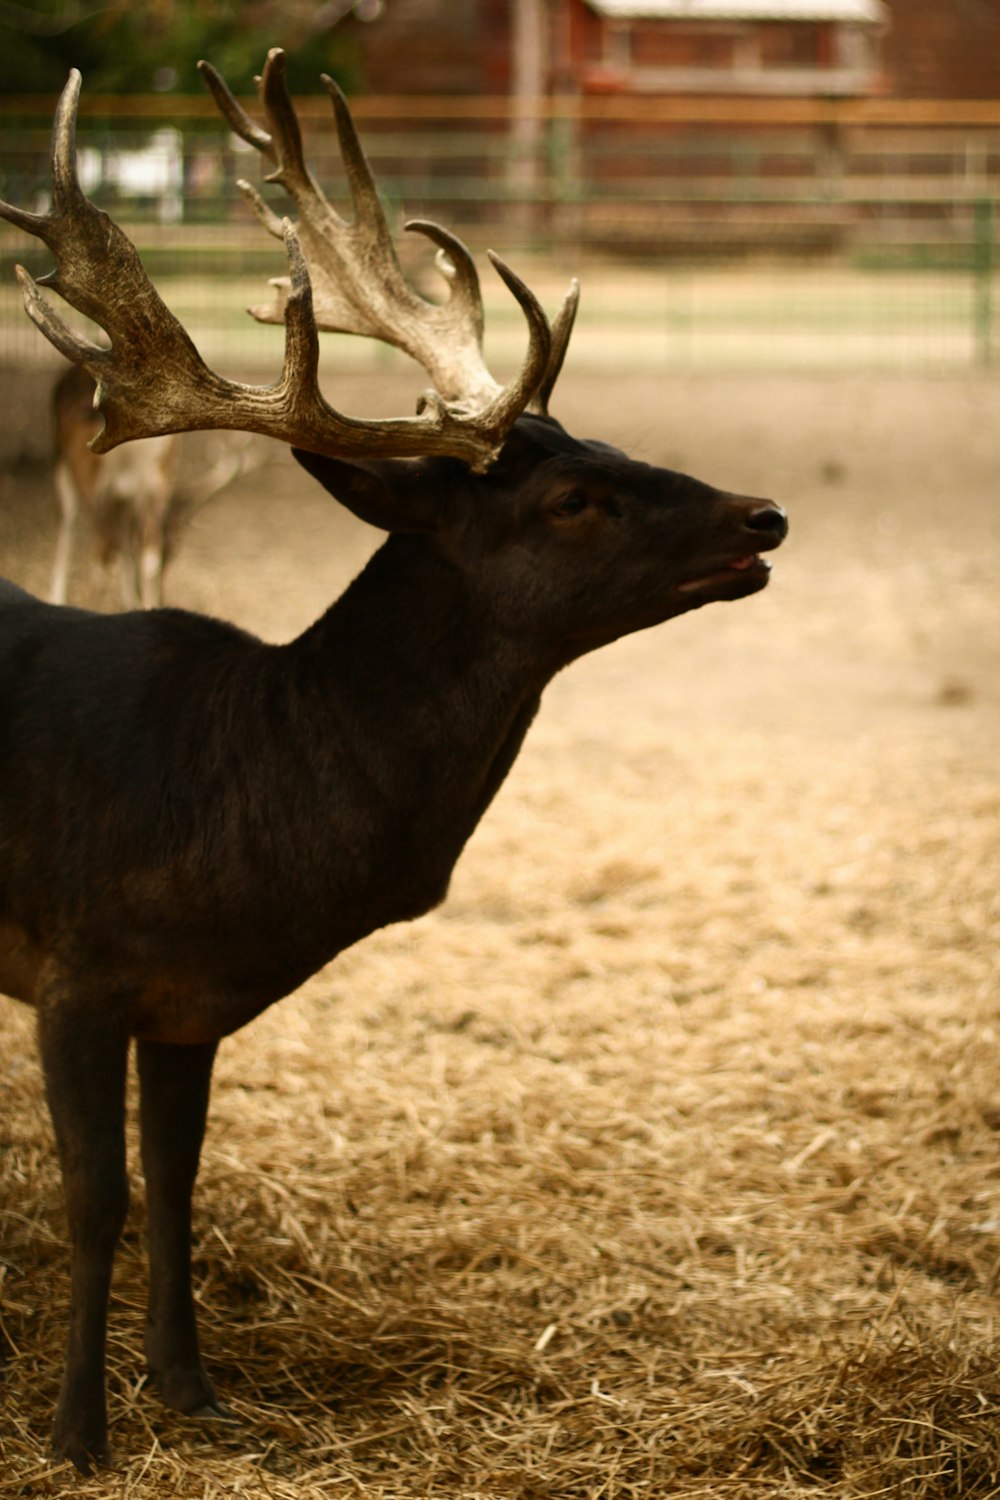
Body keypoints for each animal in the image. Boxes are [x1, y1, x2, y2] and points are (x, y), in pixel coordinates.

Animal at [0, 52, 785, 1470]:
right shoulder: (75, 969)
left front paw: (193, 1393)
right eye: (569, 500)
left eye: (598, 443)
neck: (230, 802)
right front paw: (78, 1434)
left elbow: (181, 1182)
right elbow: (98, 1198)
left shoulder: (185, 1004)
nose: (763, 515)